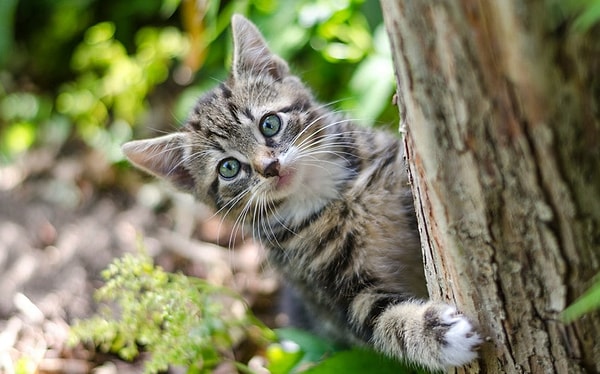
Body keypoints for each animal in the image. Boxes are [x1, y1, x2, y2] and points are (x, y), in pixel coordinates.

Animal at [123, 15, 482, 372]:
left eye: (269, 124)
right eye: (229, 168)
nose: (269, 166)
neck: (330, 197)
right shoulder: (332, 292)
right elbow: (382, 321)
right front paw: (436, 333)